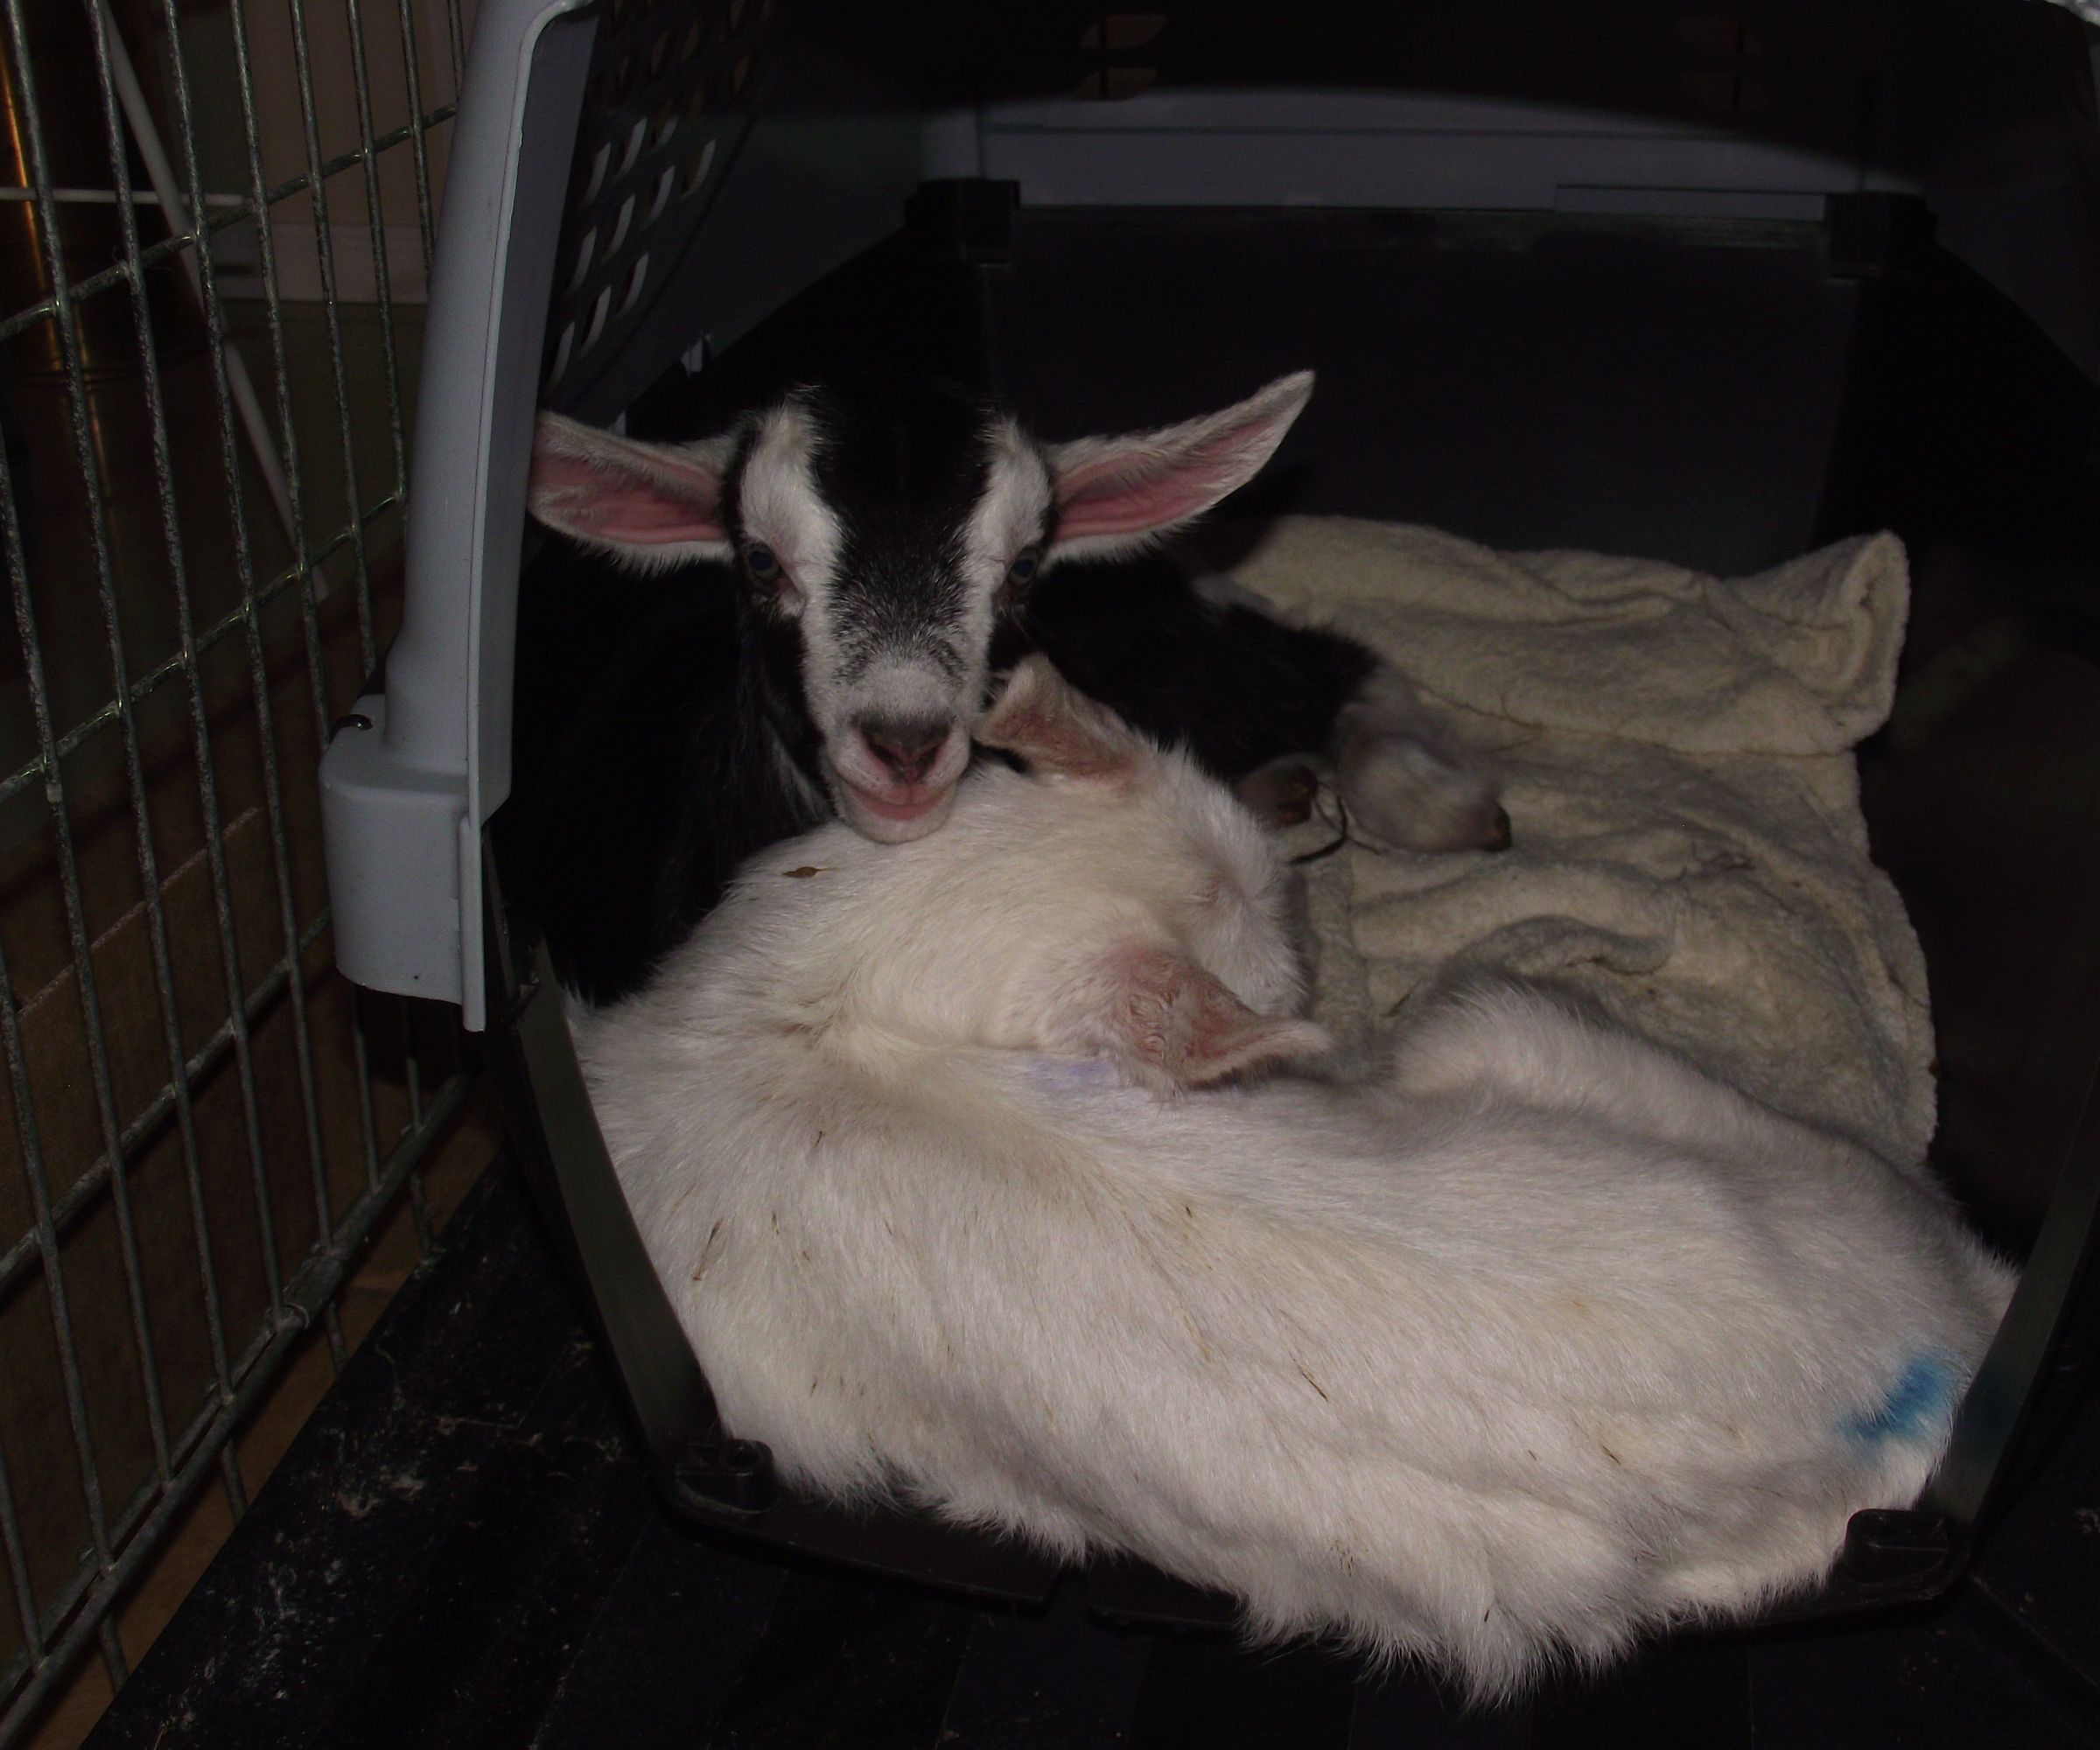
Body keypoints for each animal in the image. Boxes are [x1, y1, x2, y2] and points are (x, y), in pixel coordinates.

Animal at [511, 369, 1505, 1002]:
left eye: (1024, 567)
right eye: (759, 561)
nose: (904, 746)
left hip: (1167, 660)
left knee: (1326, 661)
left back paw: (1440, 803)